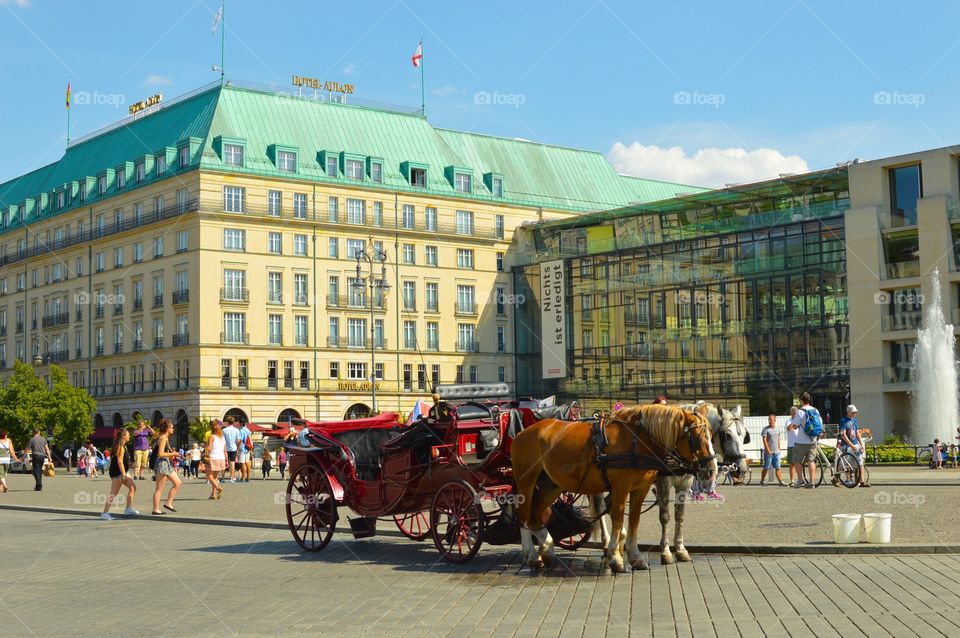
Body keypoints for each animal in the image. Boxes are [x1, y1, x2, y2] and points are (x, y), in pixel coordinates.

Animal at [516, 404, 712, 576]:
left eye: (711, 435)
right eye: (697, 438)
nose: (710, 469)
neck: (637, 440)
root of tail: (524, 432)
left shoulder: (642, 488)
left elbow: (634, 520)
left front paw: (636, 556)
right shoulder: (622, 487)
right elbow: (618, 519)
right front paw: (616, 557)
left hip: (553, 484)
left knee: (536, 514)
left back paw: (547, 549)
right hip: (526, 481)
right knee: (524, 515)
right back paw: (532, 555)